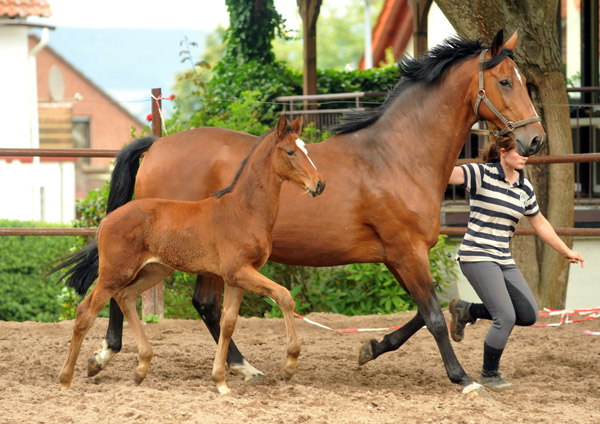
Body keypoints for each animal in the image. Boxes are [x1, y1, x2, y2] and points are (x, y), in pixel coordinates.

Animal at [58, 113, 326, 394]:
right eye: (290, 151)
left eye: (306, 149)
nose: (319, 184)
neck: (242, 211)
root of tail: (107, 220)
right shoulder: (239, 272)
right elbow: (285, 297)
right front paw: (289, 365)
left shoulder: (237, 277)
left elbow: (228, 322)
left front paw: (221, 381)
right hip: (115, 272)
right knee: (85, 312)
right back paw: (67, 379)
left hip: (154, 270)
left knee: (125, 297)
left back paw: (141, 368)